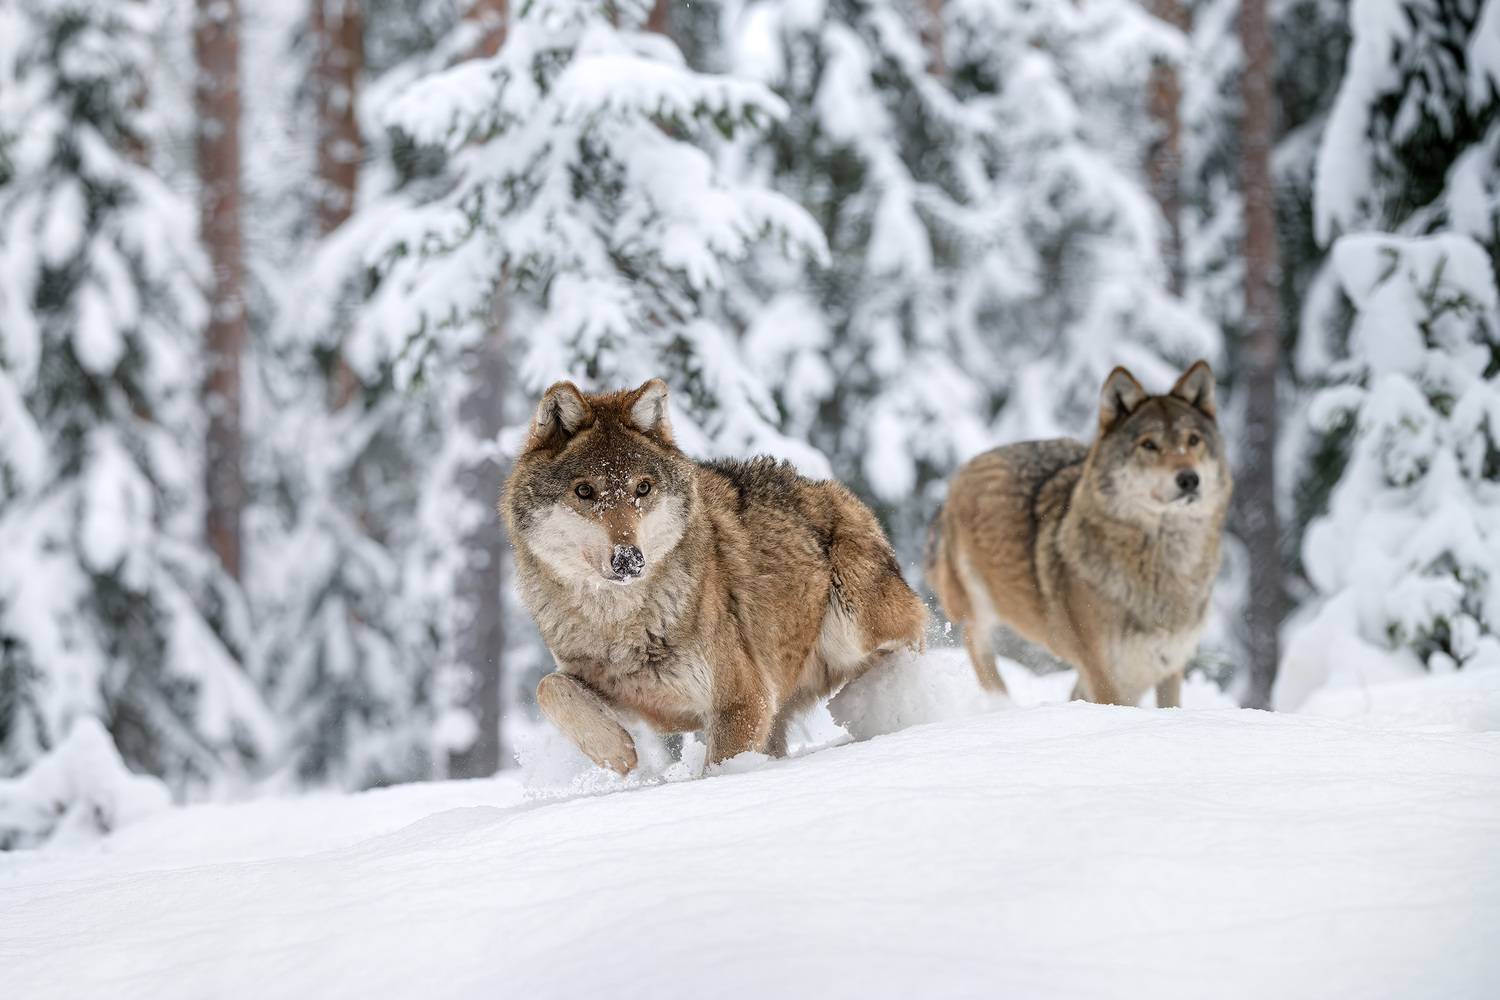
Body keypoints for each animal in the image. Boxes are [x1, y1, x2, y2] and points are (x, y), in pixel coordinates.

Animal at [503, 378, 927, 774]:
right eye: (584, 491)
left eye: (643, 488)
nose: (629, 560)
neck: (619, 621)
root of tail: (842, 495)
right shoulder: (629, 696)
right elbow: (549, 687)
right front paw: (616, 751)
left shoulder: (744, 699)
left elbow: (718, 769)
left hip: (852, 628)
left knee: (913, 632)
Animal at [928, 362, 1230, 708]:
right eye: (1149, 445)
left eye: (1193, 440)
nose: (1189, 479)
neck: (1161, 570)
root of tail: (967, 466)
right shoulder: (1103, 672)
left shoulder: (1168, 665)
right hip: (977, 602)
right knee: (975, 642)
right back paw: (1001, 702)